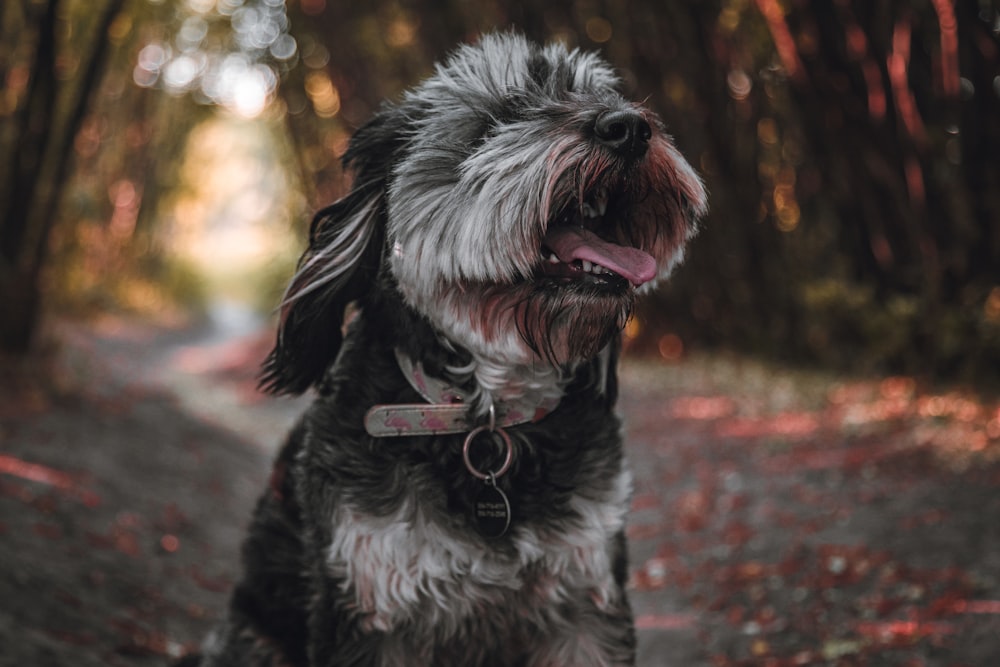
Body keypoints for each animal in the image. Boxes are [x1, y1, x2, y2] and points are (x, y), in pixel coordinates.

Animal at [184, 30, 708, 667]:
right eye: (497, 119)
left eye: (599, 95)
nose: (628, 127)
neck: (488, 414)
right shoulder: (369, 603)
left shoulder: (585, 599)